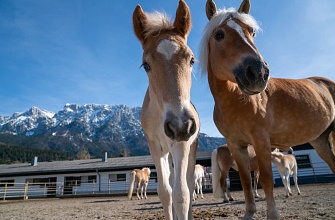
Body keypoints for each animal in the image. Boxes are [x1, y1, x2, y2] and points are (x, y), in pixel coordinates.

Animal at [131, 0, 200, 219]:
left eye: (192, 59)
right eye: (146, 65)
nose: (180, 125)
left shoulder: (182, 143)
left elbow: (182, 194)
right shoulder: (155, 146)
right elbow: (165, 192)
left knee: (188, 183)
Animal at [200, 0, 335, 217]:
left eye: (252, 32)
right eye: (219, 35)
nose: (259, 72)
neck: (236, 101)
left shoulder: (261, 140)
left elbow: (266, 180)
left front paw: (273, 214)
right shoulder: (236, 145)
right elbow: (246, 181)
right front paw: (249, 213)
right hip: (320, 141)